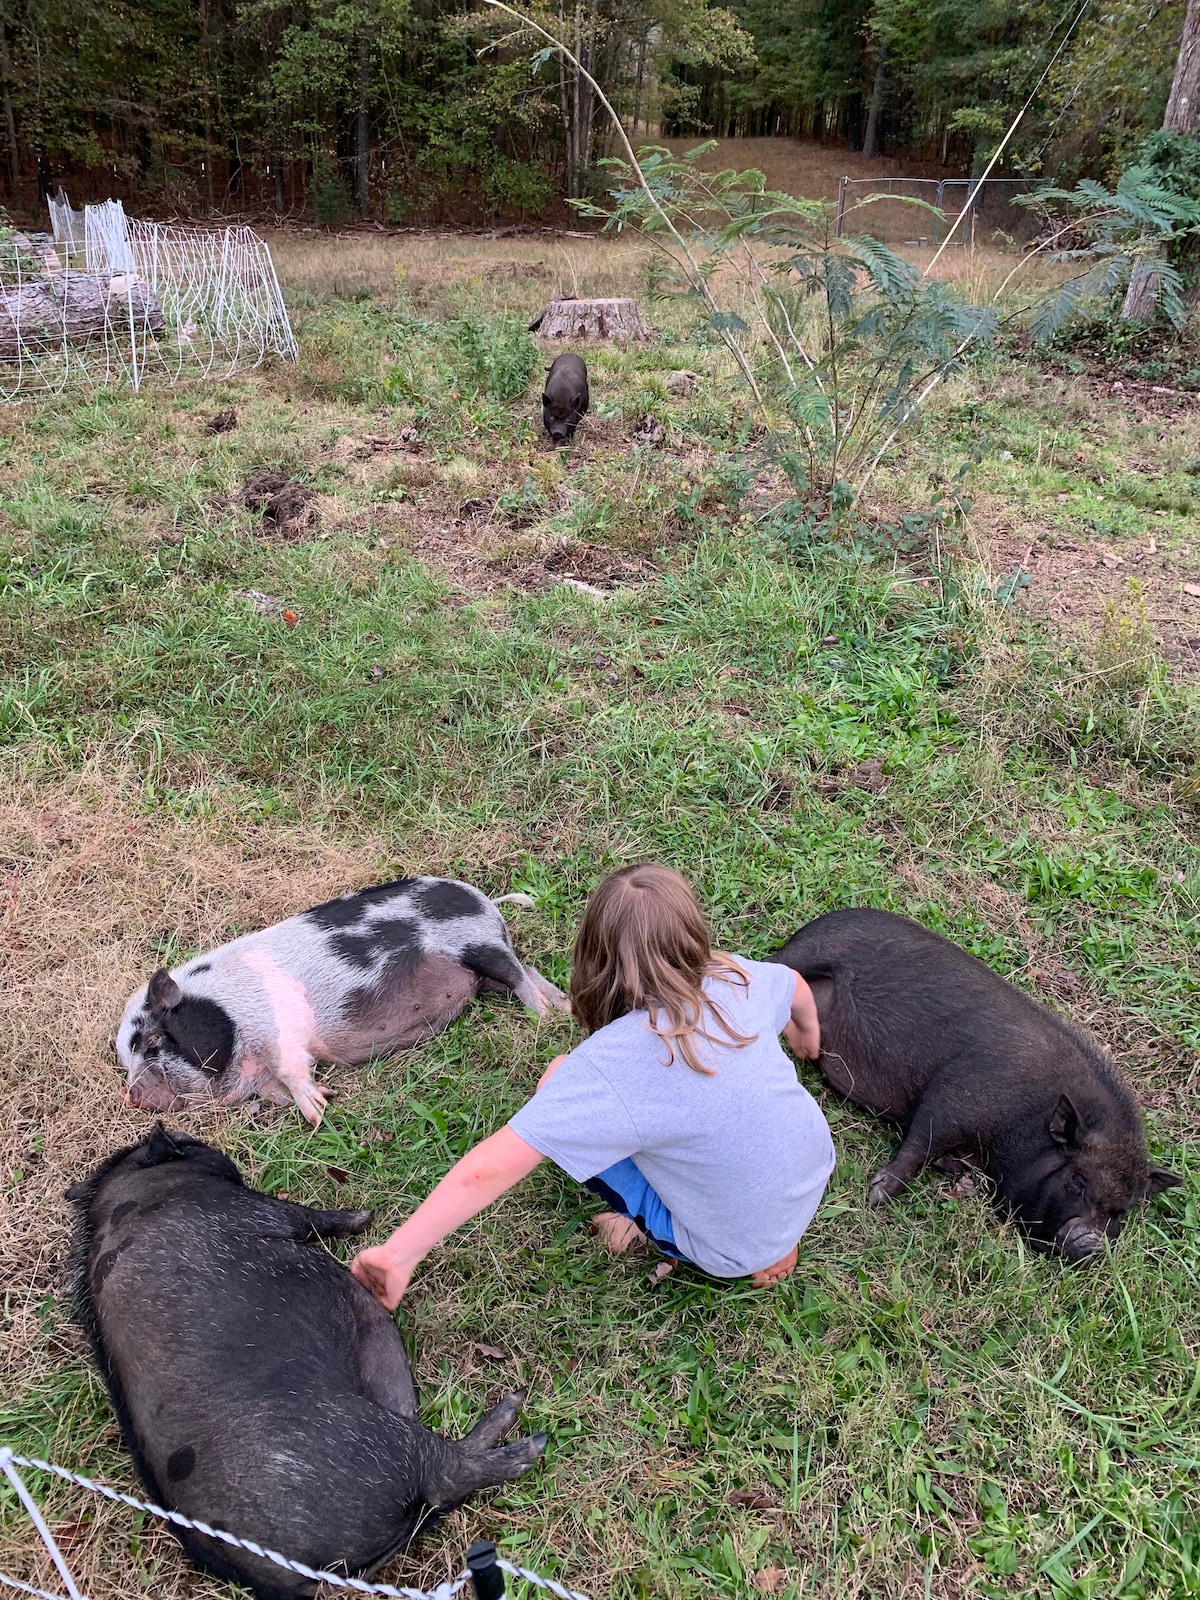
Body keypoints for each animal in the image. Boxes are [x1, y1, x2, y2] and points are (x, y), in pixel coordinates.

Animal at [68, 1126, 547, 1600]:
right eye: (187, 1144)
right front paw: (363, 1215)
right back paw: (523, 1426)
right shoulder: (256, 1210)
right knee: (448, 1474)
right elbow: (305, 1216)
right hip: (373, 1437)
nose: (189, 1134)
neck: (139, 1191)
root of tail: (291, 1578)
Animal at [115, 876, 566, 1126]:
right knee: (529, 970)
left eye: (153, 1041)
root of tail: (486, 901)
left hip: (479, 943)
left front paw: (318, 1111)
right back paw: (560, 1007)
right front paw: (313, 1099)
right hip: (484, 972)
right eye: (126, 1060)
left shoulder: (280, 1029)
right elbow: (274, 1088)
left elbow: (293, 1068)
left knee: (519, 974)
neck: (230, 1017)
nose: (130, 1097)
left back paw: (544, 1017)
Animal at [774, 908, 1177, 1254]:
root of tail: (812, 926)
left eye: (1121, 1211)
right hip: (809, 954)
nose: (1092, 1244)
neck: (1026, 1117)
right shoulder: (954, 1096)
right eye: (1078, 1181)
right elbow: (920, 1143)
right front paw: (876, 1196)